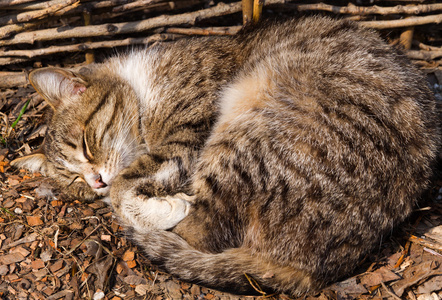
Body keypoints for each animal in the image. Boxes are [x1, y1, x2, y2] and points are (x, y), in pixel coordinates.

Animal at [12, 16, 440, 296]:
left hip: (249, 131)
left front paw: (155, 204)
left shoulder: (189, 129)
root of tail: (318, 271)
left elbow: (127, 187)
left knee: (203, 230)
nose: (94, 180)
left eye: (86, 144)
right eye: (74, 182)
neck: (143, 85)